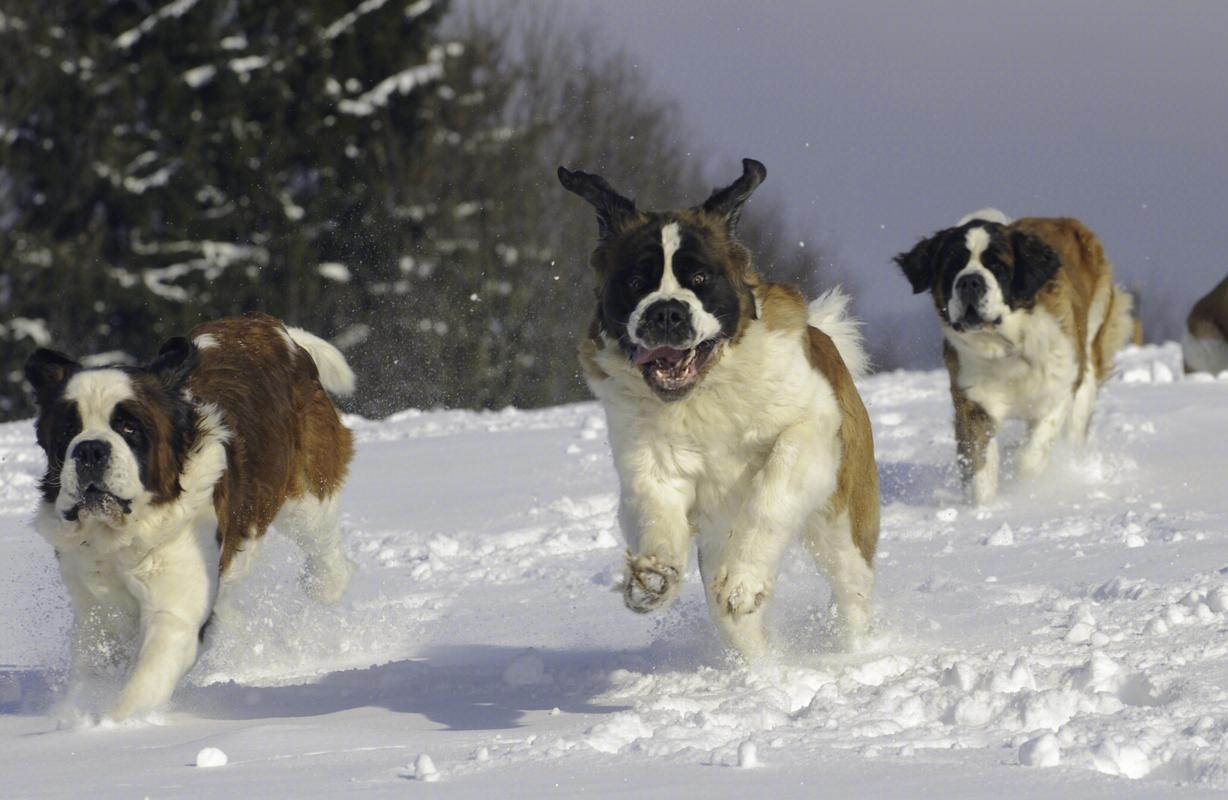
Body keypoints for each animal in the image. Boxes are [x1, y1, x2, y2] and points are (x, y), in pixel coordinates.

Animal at [23, 310, 356, 717]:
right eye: (68, 430)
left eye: (129, 427)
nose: (89, 450)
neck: (123, 537)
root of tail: (268, 325)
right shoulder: (97, 613)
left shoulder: (174, 613)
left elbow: (139, 686)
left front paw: (107, 725)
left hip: (305, 488)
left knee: (321, 540)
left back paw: (326, 584)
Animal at [557, 159, 884, 658]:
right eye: (635, 282)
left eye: (699, 280)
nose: (666, 312)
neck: (704, 390)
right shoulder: (646, 462)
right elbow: (654, 507)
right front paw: (652, 577)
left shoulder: (812, 427)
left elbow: (773, 491)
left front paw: (744, 579)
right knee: (735, 625)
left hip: (842, 521)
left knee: (850, 592)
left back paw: (852, 652)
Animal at [893, 210, 1129, 503]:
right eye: (953, 266)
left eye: (997, 266)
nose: (970, 281)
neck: (1004, 345)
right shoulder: (973, 402)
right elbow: (979, 463)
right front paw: (982, 507)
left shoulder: (1059, 386)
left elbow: (1030, 456)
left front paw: (1021, 482)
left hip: (1091, 350)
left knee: (1076, 418)